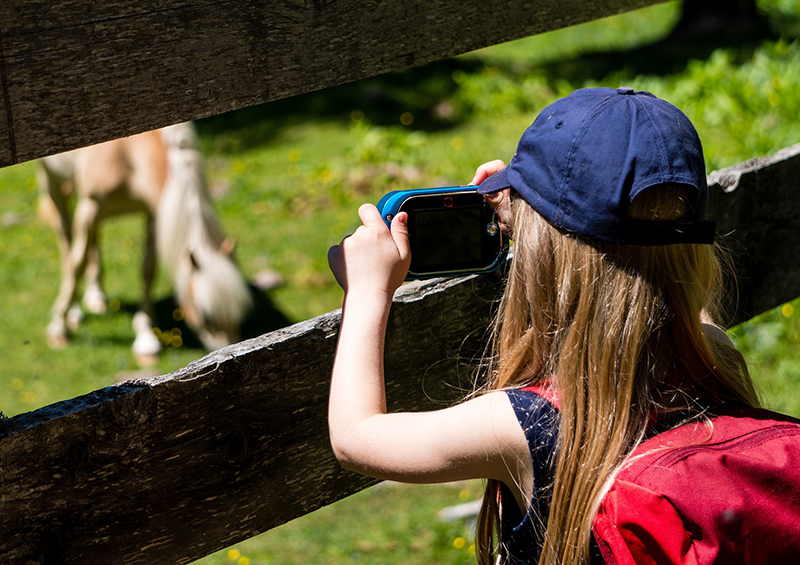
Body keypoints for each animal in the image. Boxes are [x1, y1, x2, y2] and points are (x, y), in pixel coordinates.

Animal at [38, 121, 253, 364]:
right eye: (206, 316)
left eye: (239, 313)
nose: (231, 354)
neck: (126, 151)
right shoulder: (90, 207)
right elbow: (76, 265)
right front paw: (58, 327)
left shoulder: (153, 214)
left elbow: (148, 270)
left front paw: (146, 339)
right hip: (53, 182)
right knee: (66, 237)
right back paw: (73, 311)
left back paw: (96, 296)